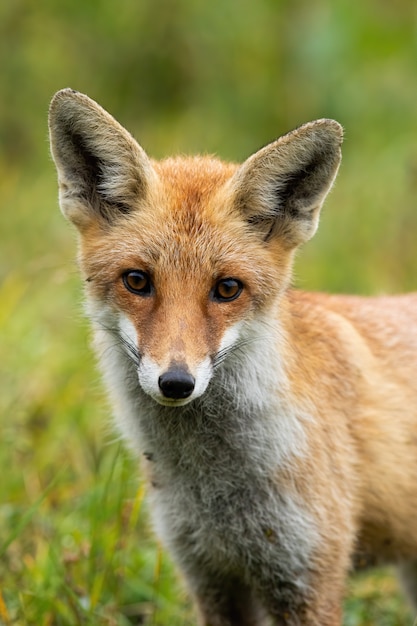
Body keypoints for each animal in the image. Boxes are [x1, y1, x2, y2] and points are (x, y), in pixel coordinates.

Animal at [48, 89, 416, 624]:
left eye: (227, 289)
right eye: (137, 281)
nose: (176, 382)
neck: (217, 497)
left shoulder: (307, 577)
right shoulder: (210, 575)